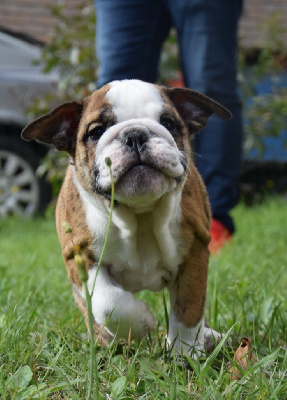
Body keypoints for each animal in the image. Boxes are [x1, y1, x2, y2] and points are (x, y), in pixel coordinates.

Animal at [21, 79, 232, 358]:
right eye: (96, 132)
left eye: (168, 123)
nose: (135, 134)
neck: (139, 214)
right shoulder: (81, 257)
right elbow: (108, 303)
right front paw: (142, 324)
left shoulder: (194, 251)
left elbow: (189, 307)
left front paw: (185, 352)